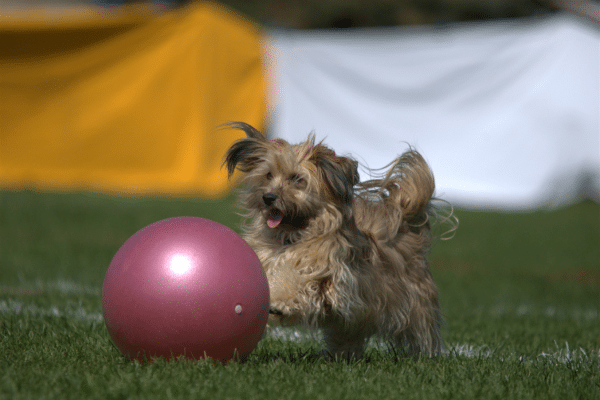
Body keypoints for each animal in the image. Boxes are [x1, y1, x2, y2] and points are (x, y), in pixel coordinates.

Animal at [224, 122, 454, 360]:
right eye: (269, 175)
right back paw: (335, 356)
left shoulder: (331, 281)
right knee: (347, 336)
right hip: (353, 321)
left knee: (421, 332)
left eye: (296, 178)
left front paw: (279, 300)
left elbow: (299, 283)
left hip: (414, 306)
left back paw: (426, 356)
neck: (292, 238)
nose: (268, 197)